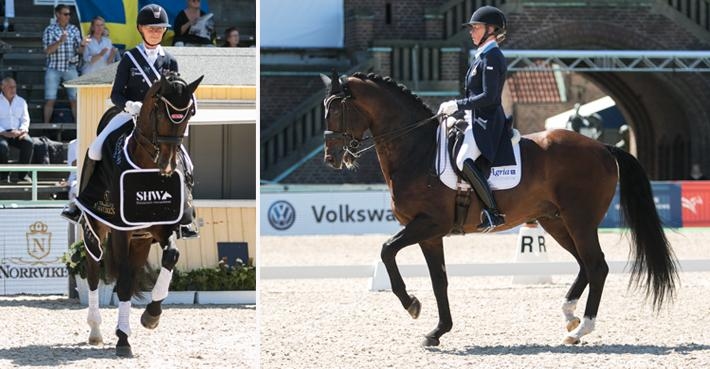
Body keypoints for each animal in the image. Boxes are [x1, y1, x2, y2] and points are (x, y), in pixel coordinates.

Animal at [80, 70, 203, 356]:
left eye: (189, 113)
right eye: (159, 111)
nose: (167, 166)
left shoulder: (165, 227)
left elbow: (171, 256)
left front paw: (151, 316)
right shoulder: (121, 231)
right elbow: (123, 281)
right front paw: (123, 340)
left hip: (142, 241)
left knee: (133, 272)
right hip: (95, 228)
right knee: (93, 272)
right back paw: (96, 330)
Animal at [322, 72, 680, 344]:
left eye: (336, 110)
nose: (332, 158)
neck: (417, 151)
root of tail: (603, 147)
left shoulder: (428, 224)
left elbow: (386, 250)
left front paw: (412, 305)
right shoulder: (429, 234)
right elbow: (439, 280)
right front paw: (438, 331)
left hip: (580, 220)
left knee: (597, 265)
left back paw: (582, 329)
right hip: (556, 221)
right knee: (584, 264)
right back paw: (569, 316)